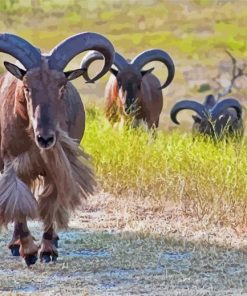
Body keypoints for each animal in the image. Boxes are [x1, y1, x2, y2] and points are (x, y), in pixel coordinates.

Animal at [0, 32, 115, 266]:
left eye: (62, 87)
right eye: (27, 87)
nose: (45, 138)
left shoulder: (58, 165)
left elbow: (51, 202)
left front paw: (47, 250)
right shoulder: (14, 164)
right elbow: (19, 203)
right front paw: (28, 251)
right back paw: (16, 244)